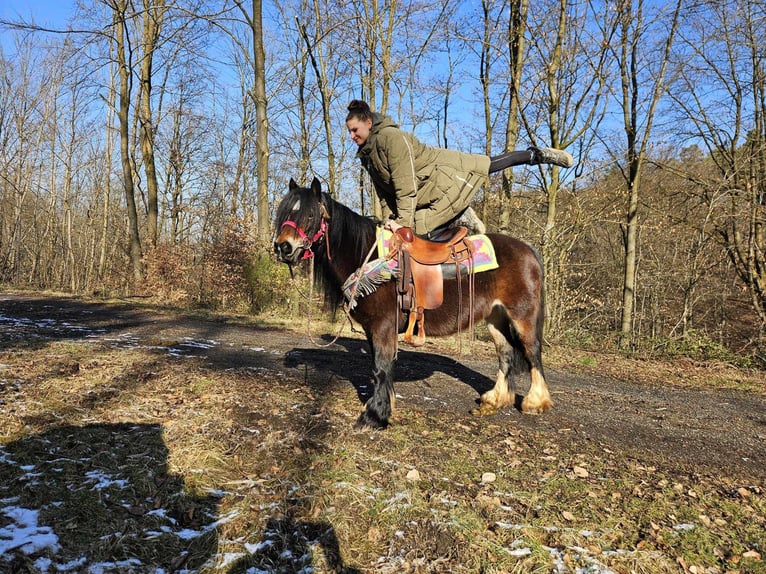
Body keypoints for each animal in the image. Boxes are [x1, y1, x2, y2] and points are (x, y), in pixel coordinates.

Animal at [276, 178, 552, 430]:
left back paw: (535, 403)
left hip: (522, 317)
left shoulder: (383, 326)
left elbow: (381, 368)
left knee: (532, 353)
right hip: (496, 319)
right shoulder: (373, 329)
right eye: (283, 212)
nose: (283, 247)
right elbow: (379, 367)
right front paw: (381, 408)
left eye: (310, 214)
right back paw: (495, 400)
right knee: (506, 354)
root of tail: (528, 250)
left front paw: (374, 416)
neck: (367, 256)